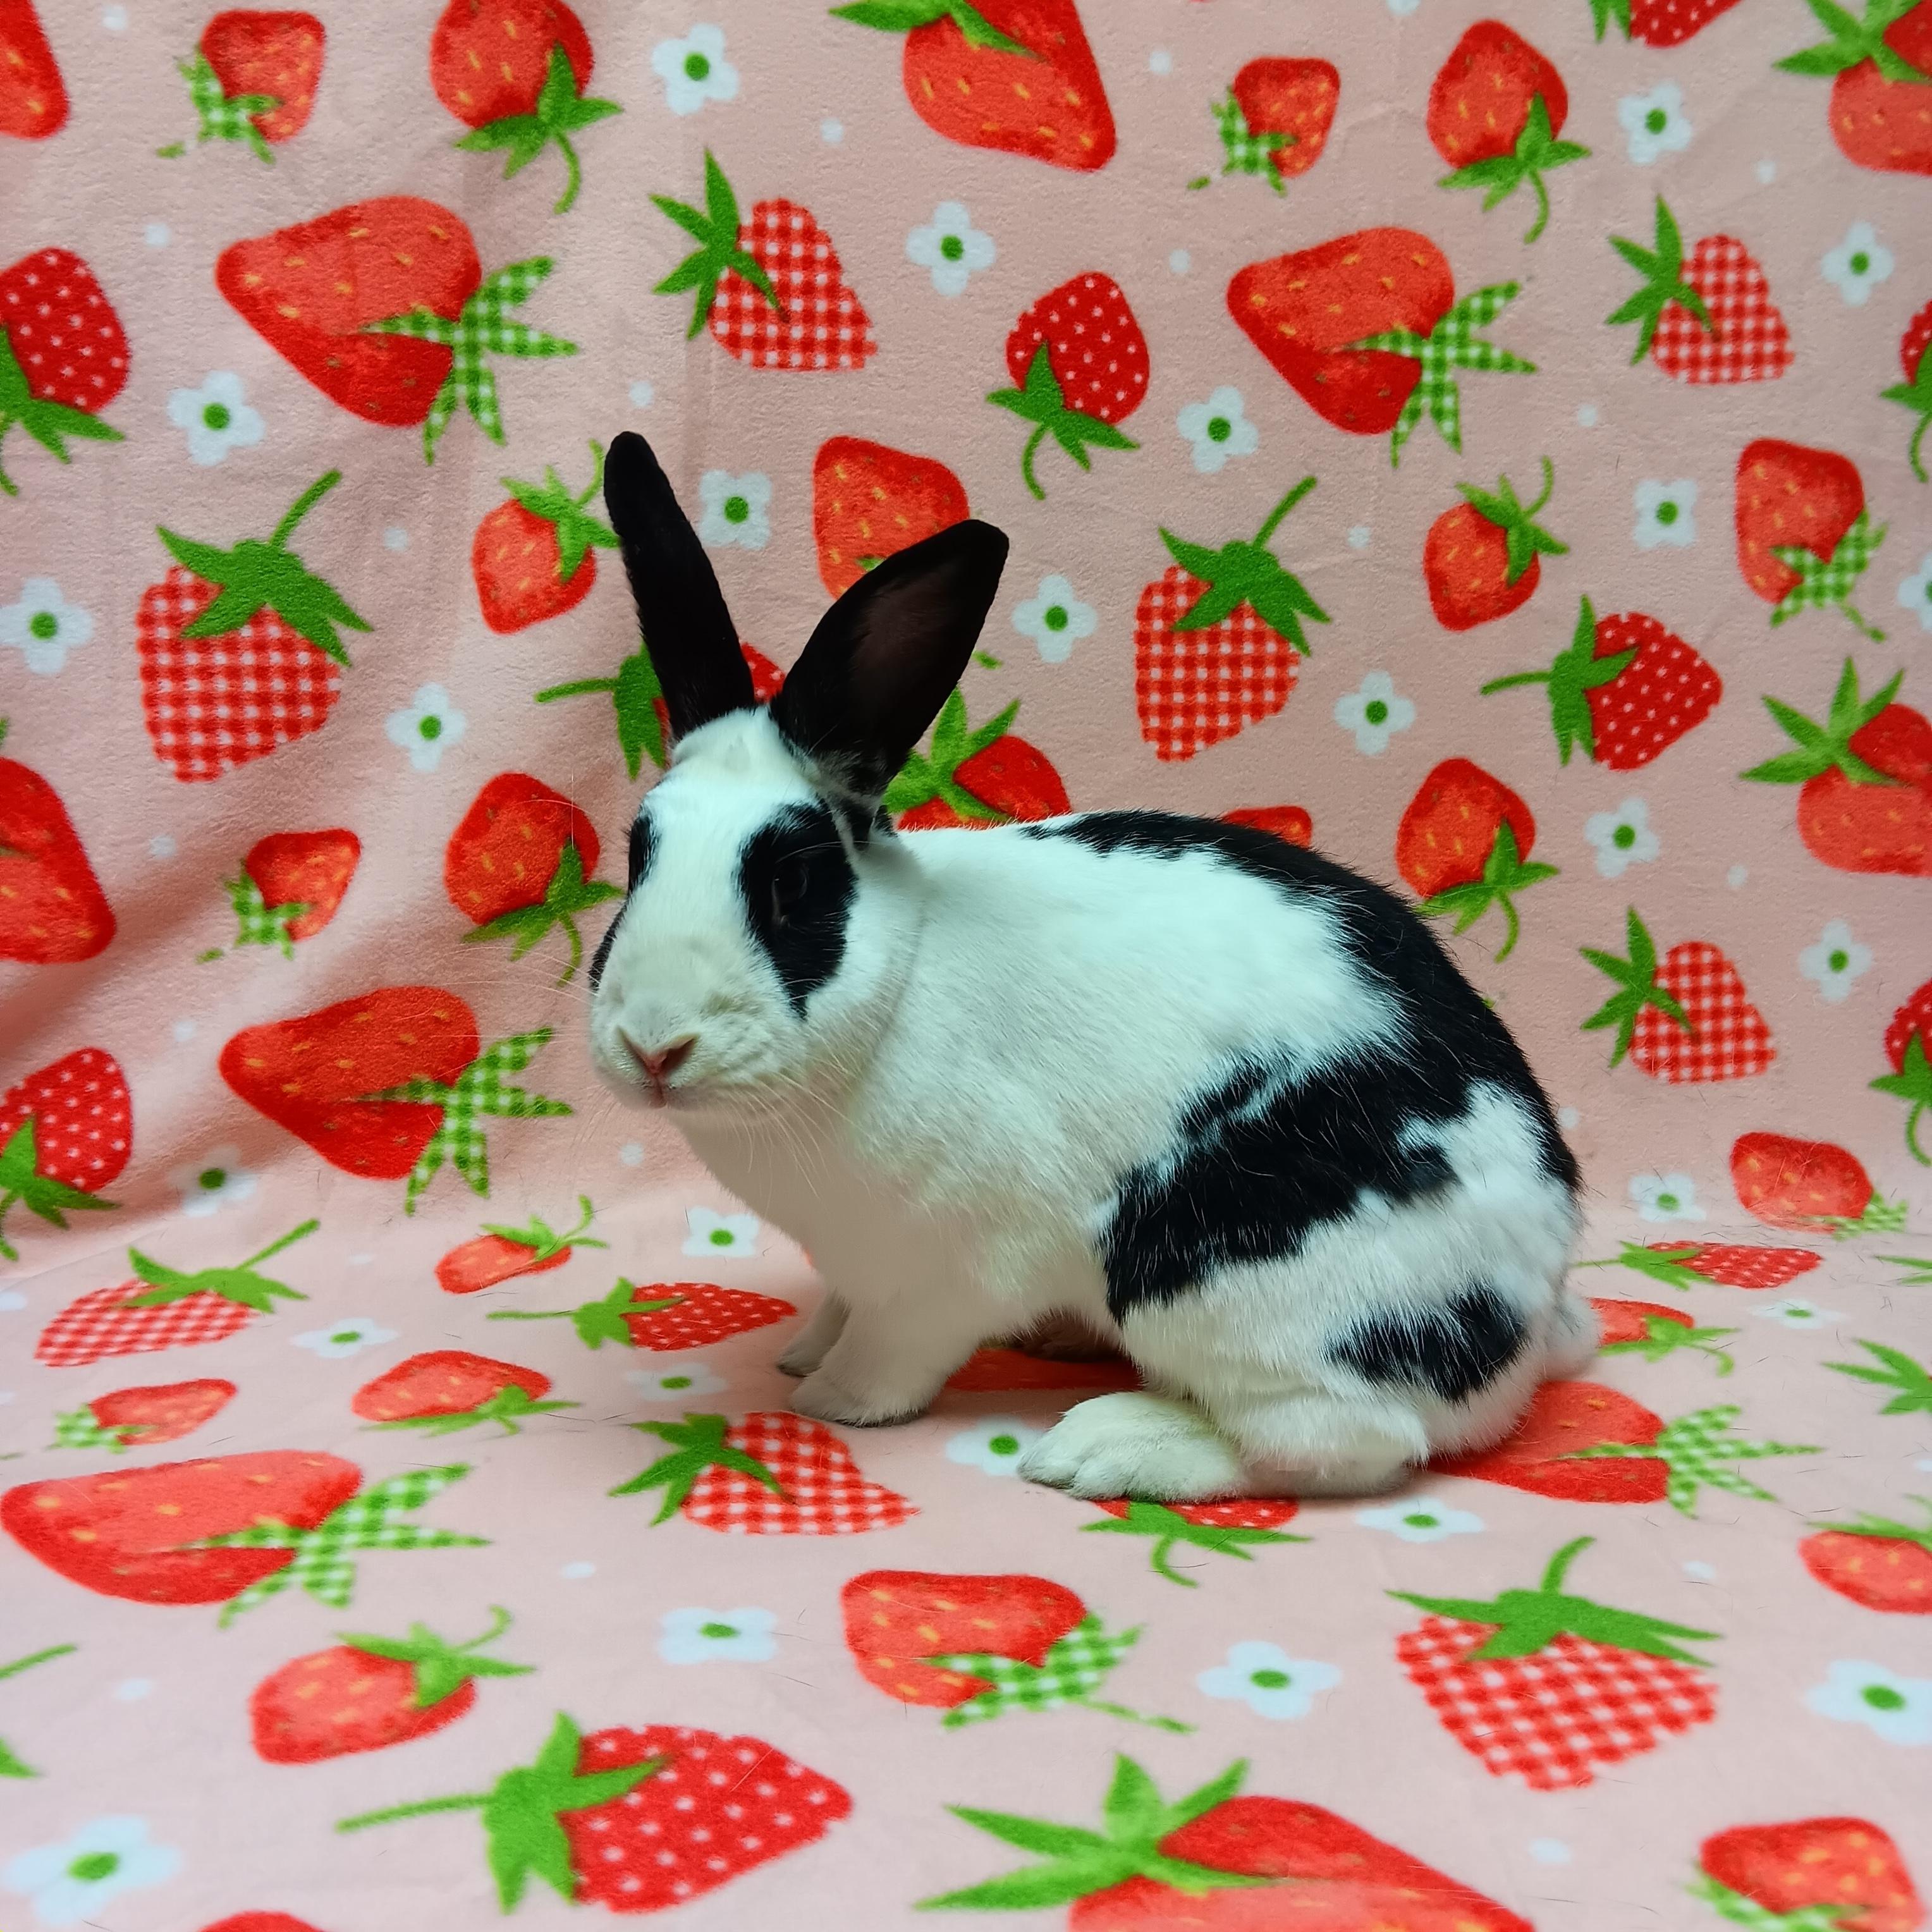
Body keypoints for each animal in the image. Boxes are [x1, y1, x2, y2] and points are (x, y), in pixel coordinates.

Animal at [585, 431, 1594, 1501]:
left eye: (794, 885)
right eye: (636, 856)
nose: (654, 1046)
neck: (902, 976)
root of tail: (1531, 1323)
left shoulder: (942, 1274)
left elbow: (895, 1353)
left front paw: (832, 1399)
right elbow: (836, 1310)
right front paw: (801, 1351)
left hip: (1224, 1277)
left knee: (1341, 1439)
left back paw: (1109, 1445)